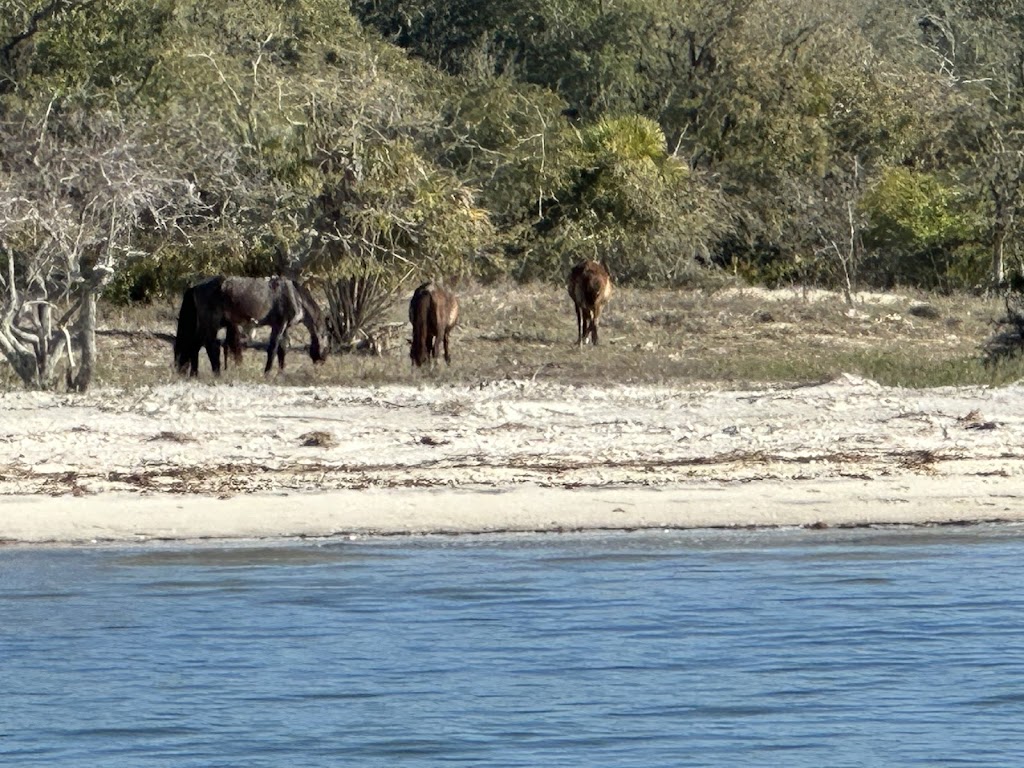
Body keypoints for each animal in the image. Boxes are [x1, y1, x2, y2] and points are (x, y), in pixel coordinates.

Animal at [174, 274, 329, 376]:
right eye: (328, 340)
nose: (322, 361)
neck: (295, 295)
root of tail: (194, 287)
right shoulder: (278, 325)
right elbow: (273, 349)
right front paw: (267, 373)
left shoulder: (284, 327)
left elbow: (282, 349)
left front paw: (281, 373)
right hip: (211, 323)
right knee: (210, 345)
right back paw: (216, 372)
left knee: (195, 345)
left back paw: (194, 374)